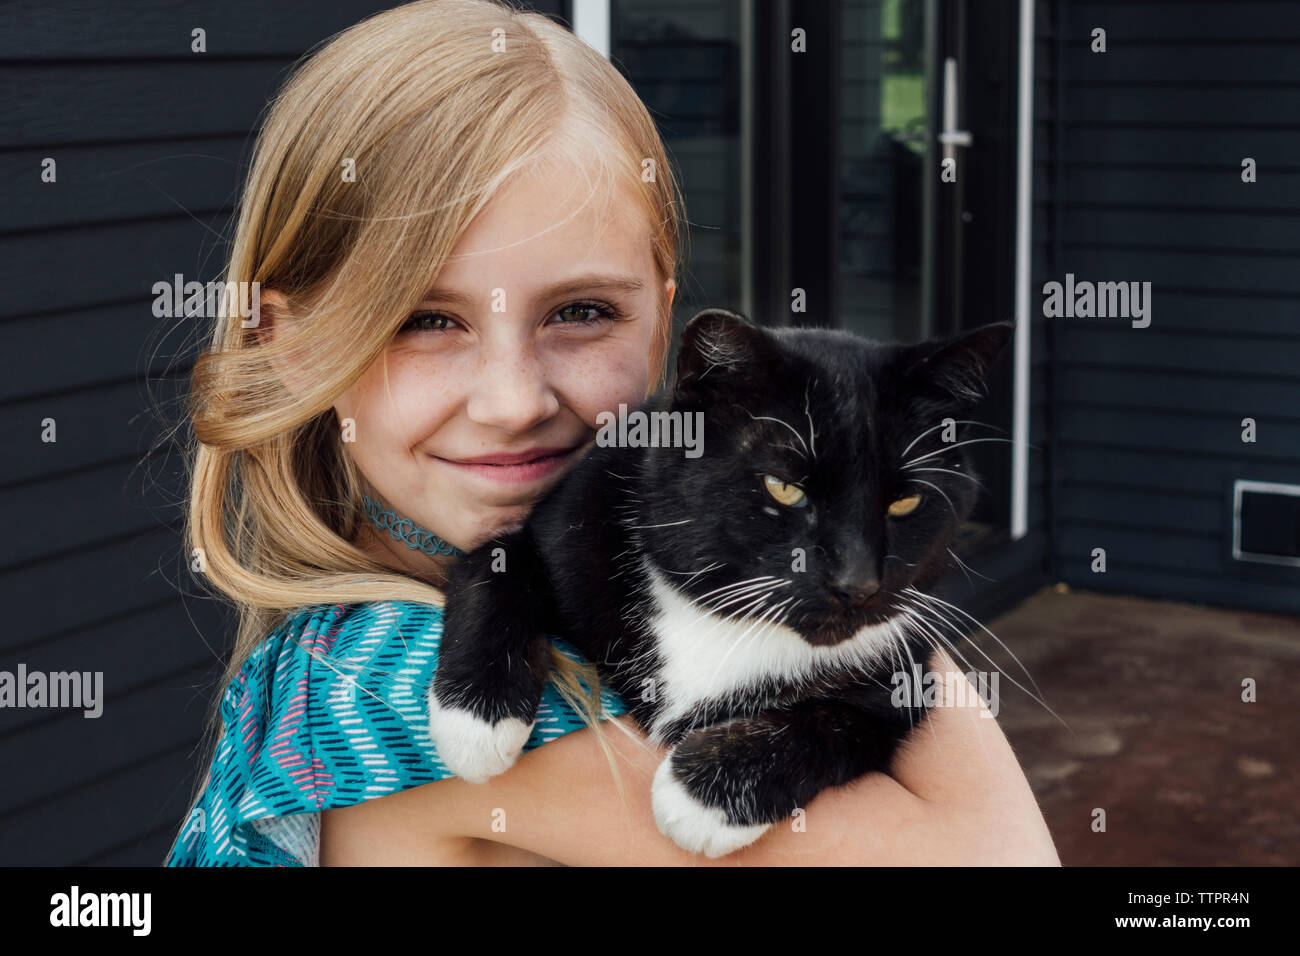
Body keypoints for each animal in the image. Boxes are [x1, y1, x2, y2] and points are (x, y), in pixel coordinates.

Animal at [426, 308, 1013, 858]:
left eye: (906, 501)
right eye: (784, 487)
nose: (857, 582)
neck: (719, 619)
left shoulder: (907, 678)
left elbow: (838, 722)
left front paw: (700, 798)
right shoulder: (560, 528)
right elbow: (493, 564)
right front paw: (475, 720)